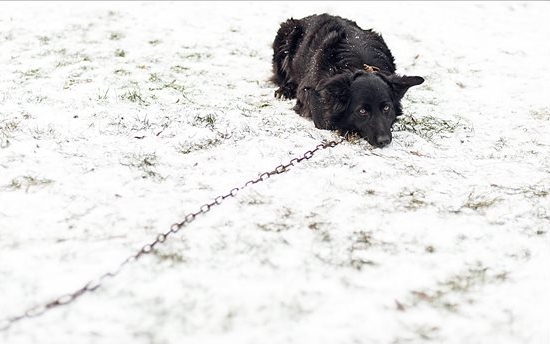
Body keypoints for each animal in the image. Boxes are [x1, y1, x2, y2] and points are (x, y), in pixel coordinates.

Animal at [272, 14, 426, 148]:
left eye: (386, 108)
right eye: (362, 111)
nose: (384, 141)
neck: (359, 65)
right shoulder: (309, 92)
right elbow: (326, 120)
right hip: (285, 36)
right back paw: (284, 90)